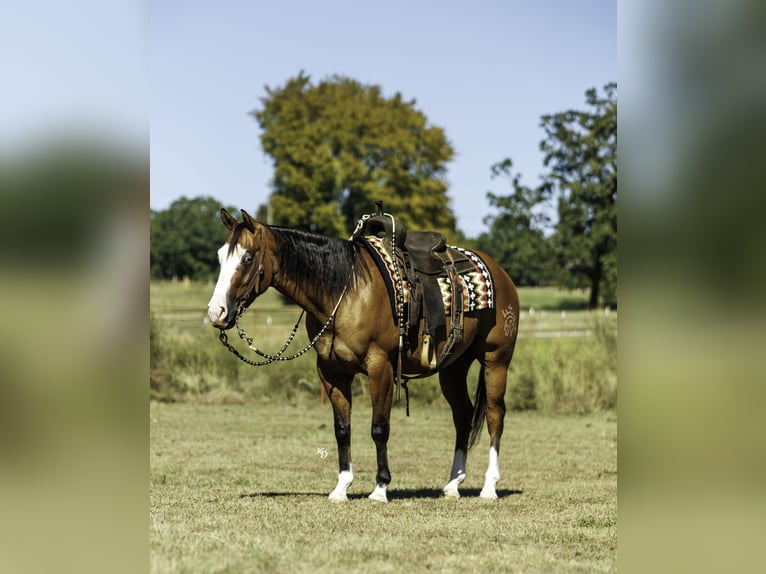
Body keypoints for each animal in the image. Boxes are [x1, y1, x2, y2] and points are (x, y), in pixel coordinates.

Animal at [207, 208, 519, 503]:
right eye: (221, 257)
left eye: (247, 258)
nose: (216, 312)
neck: (346, 293)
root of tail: (500, 272)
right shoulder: (331, 372)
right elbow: (342, 429)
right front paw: (341, 487)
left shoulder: (380, 367)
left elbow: (379, 428)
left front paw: (380, 488)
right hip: (453, 367)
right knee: (463, 415)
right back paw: (453, 484)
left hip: (495, 360)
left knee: (494, 415)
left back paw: (489, 487)